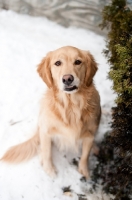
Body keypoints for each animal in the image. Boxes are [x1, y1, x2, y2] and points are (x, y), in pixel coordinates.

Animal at [1, 46, 100, 179]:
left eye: (78, 62)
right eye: (57, 63)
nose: (67, 79)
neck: (70, 107)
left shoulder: (90, 134)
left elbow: (85, 155)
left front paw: (84, 171)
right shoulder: (45, 131)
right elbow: (47, 152)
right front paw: (49, 169)